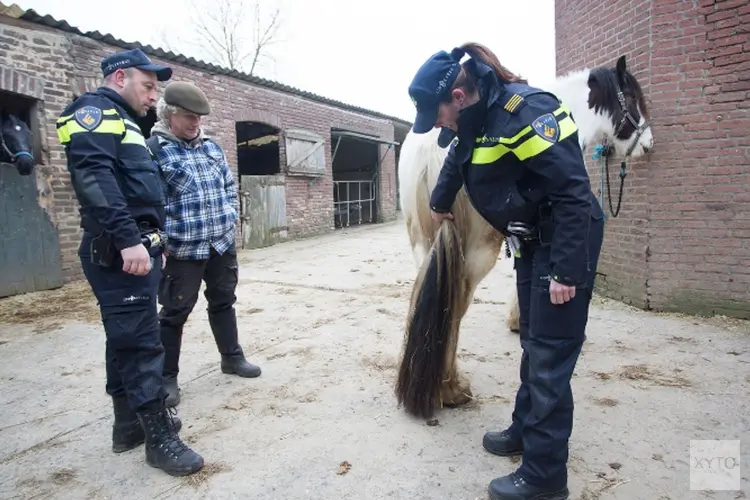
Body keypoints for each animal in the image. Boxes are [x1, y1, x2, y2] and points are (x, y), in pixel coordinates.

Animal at [396, 54, 656, 420]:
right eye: (632, 98)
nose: (648, 143)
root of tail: (430, 151)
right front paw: (521, 319)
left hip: (423, 244)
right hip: (475, 252)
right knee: (456, 305)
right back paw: (450, 389)